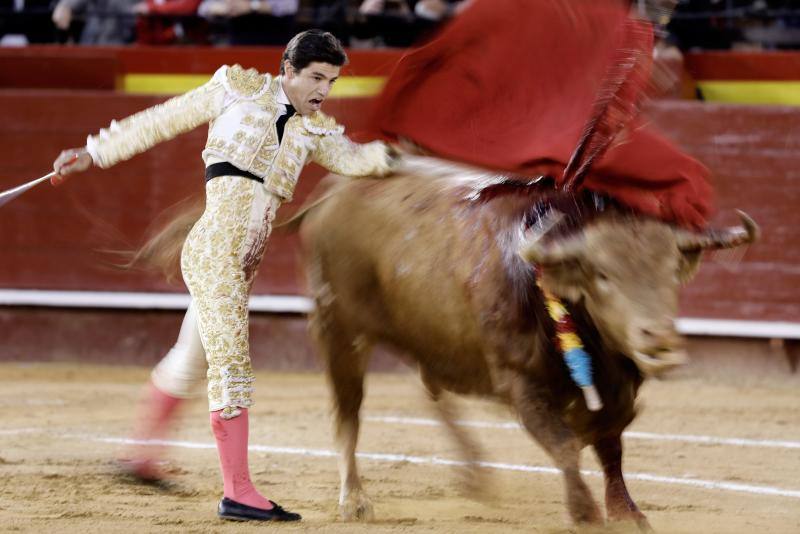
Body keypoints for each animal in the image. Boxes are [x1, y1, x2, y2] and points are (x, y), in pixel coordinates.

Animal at [296, 155, 760, 532]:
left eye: (670, 270)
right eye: (603, 275)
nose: (659, 340)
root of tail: (333, 192)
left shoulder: (617, 394)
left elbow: (611, 449)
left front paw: (628, 513)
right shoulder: (522, 385)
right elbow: (565, 445)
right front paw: (584, 512)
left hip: (426, 337)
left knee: (428, 389)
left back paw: (475, 474)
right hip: (339, 330)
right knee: (348, 414)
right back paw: (355, 500)